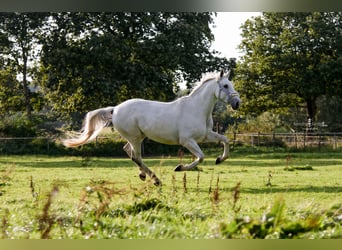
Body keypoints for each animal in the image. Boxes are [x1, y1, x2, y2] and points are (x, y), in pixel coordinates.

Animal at [63, 70, 240, 186]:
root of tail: (115, 109)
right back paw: (156, 180)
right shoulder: (187, 141)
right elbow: (201, 157)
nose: (237, 103)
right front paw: (179, 168)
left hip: (138, 137)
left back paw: (144, 175)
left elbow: (225, 140)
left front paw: (219, 159)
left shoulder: (206, 135)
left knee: (129, 152)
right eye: (225, 85)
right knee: (136, 156)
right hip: (135, 137)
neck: (197, 109)